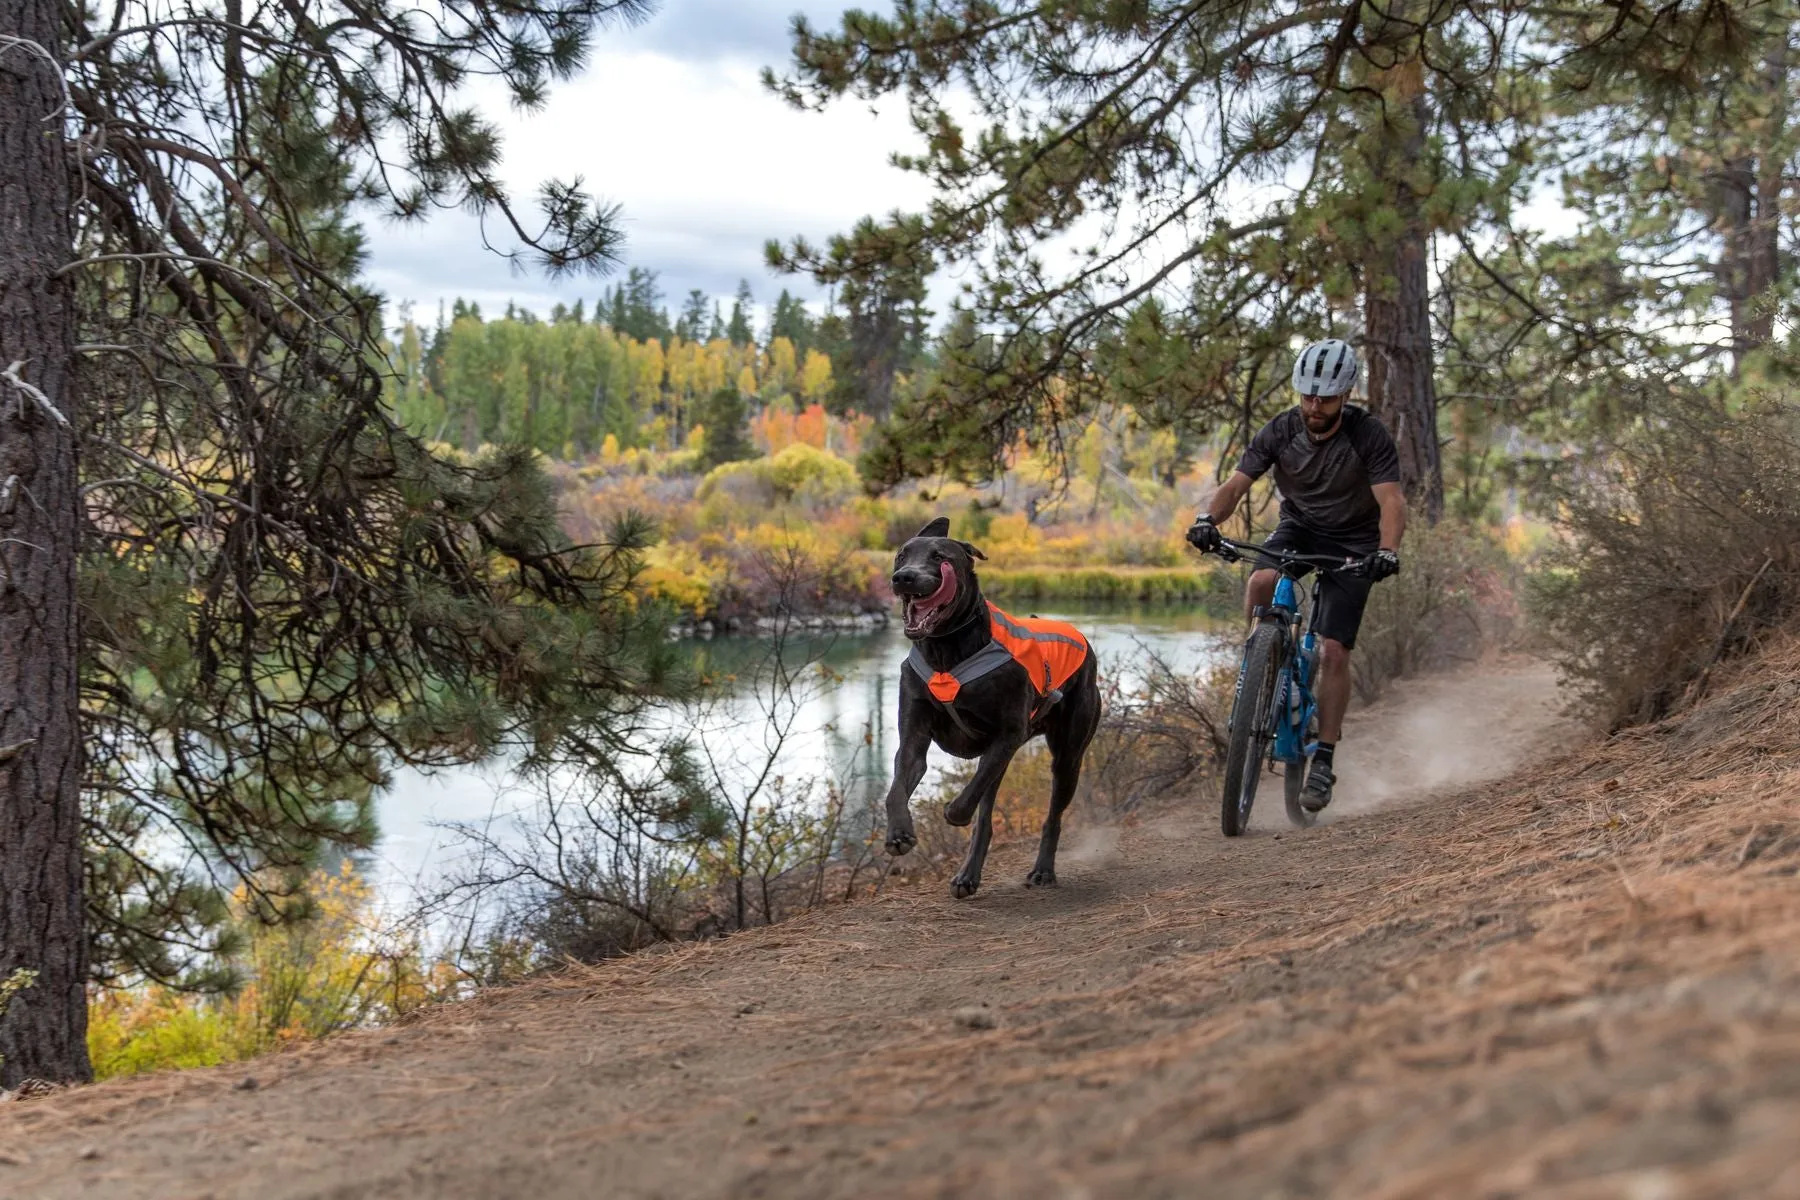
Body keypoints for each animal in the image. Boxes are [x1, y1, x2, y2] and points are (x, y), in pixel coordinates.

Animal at [882, 518, 1101, 899]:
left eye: (940, 557)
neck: (947, 649)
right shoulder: (913, 736)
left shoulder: (1009, 734)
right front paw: (898, 833)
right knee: (986, 811)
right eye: (901, 555)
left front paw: (953, 813)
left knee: (1051, 815)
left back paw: (1042, 870)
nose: (904, 578)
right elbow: (897, 786)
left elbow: (965, 801)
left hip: (1068, 756)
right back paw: (967, 876)